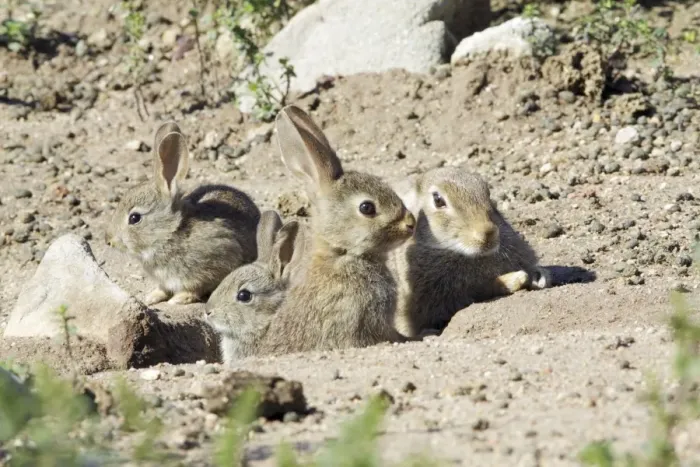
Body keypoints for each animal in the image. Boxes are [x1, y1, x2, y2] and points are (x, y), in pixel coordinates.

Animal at [105, 121, 261, 305]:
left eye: (134, 218)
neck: (170, 233)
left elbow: (194, 288)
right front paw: (152, 297)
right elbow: (162, 289)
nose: (108, 240)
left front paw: (178, 299)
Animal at [390, 167, 551, 337]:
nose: (488, 233)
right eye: (438, 200)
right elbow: (480, 290)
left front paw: (538, 276)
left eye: (487, 193)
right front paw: (516, 279)